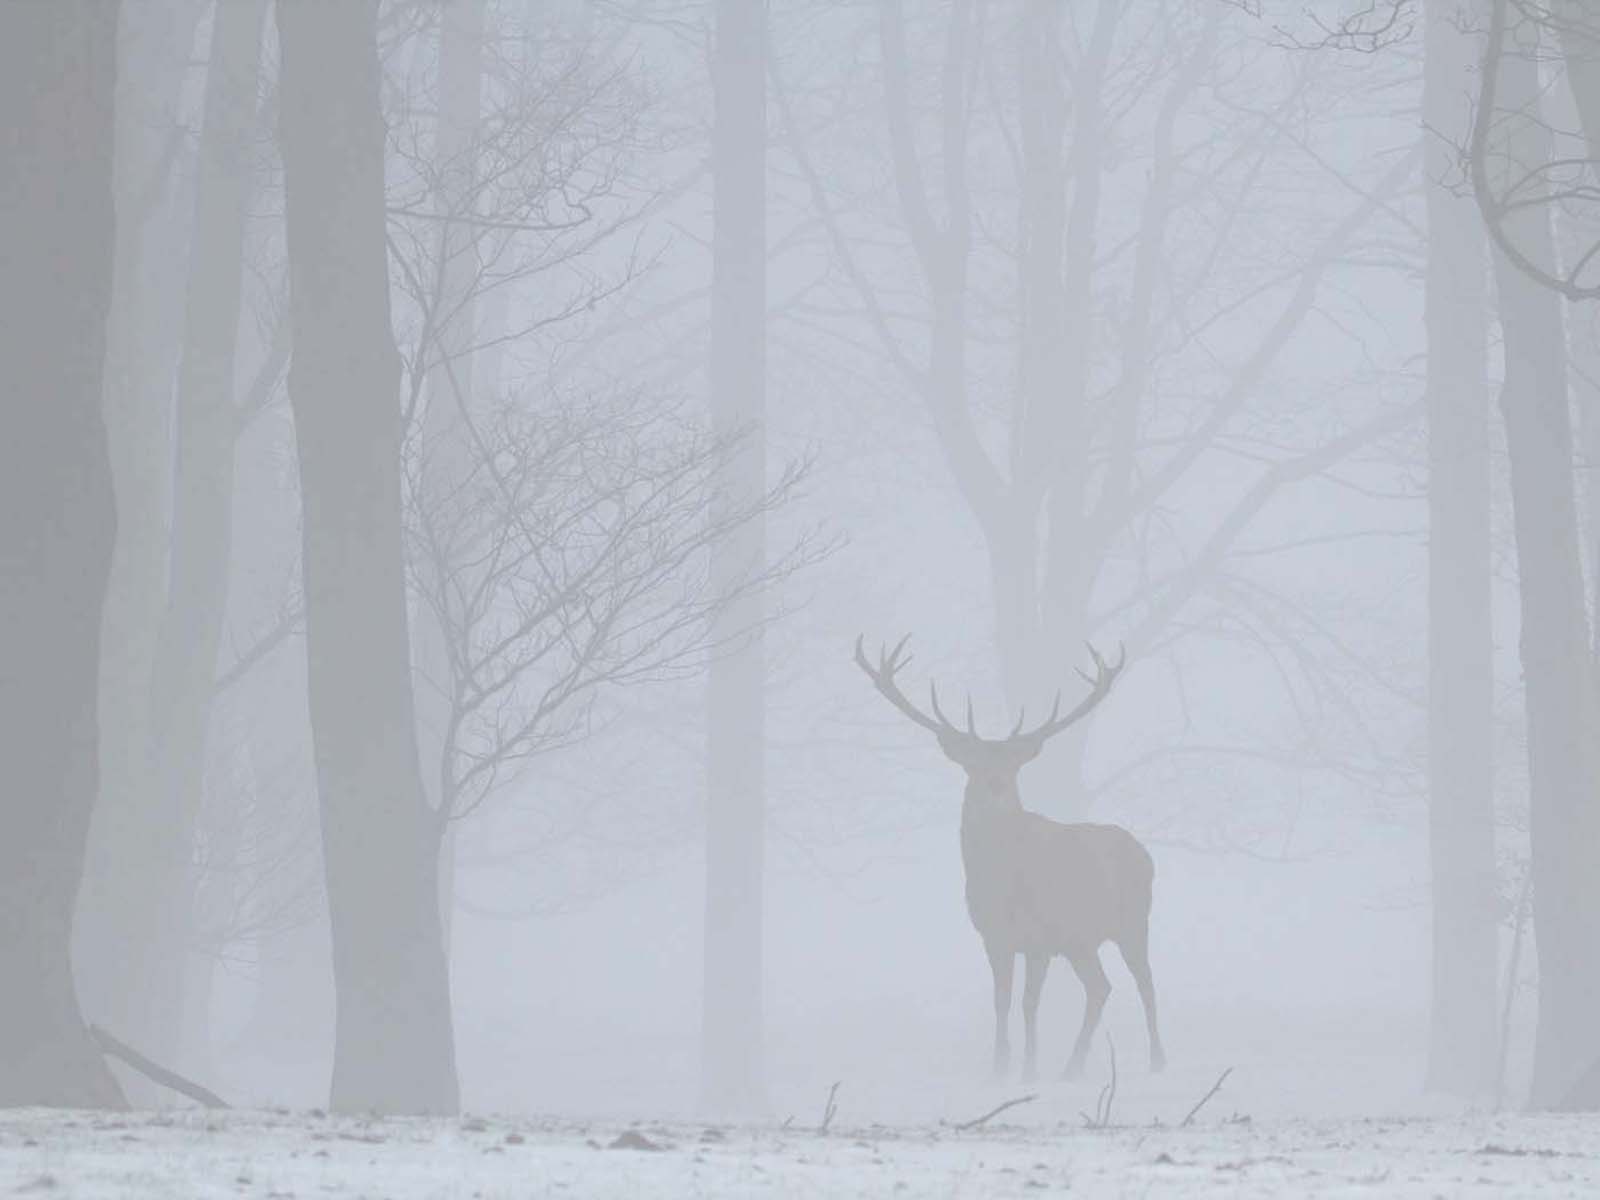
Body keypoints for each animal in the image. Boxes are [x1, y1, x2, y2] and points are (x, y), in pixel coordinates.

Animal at [854, 635, 1165, 1082]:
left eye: (1014, 764)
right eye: (972, 762)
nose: (996, 784)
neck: (1000, 880)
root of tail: (1144, 853)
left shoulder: (1040, 937)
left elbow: (1028, 1004)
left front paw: (1028, 1070)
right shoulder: (994, 936)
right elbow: (1000, 1001)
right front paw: (999, 1068)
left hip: (1132, 921)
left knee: (1144, 982)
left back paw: (1157, 1060)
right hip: (1080, 940)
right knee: (1100, 987)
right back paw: (1072, 1067)